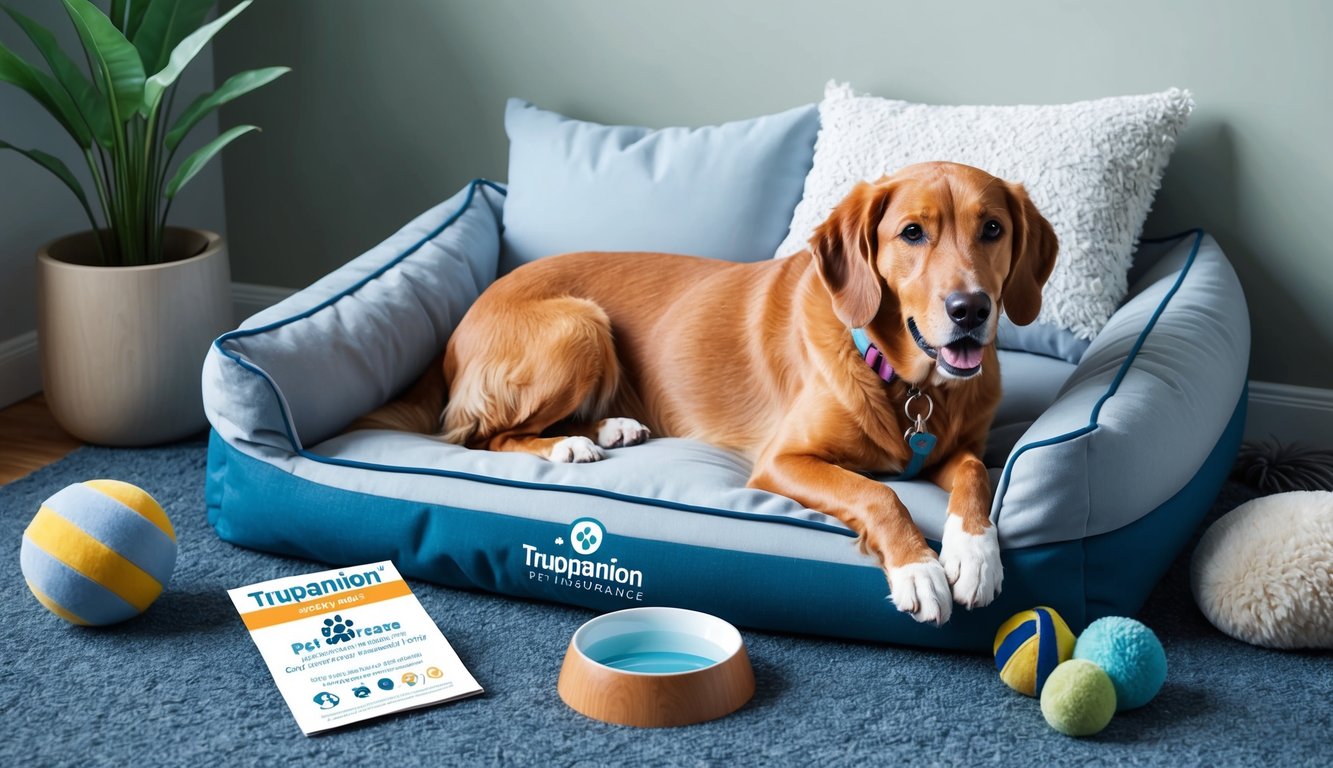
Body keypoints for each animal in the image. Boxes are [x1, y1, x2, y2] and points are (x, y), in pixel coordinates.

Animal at [357, 162, 1061, 624]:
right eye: (912, 233)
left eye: (992, 229)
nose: (970, 309)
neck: (906, 380)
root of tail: (460, 324)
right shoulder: (782, 462)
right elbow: (880, 493)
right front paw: (919, 568)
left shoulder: (960, 449)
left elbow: (975, 473)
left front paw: (975, 553)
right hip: (581, 325)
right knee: (480, 435)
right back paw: (569, 447)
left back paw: (611, 427)